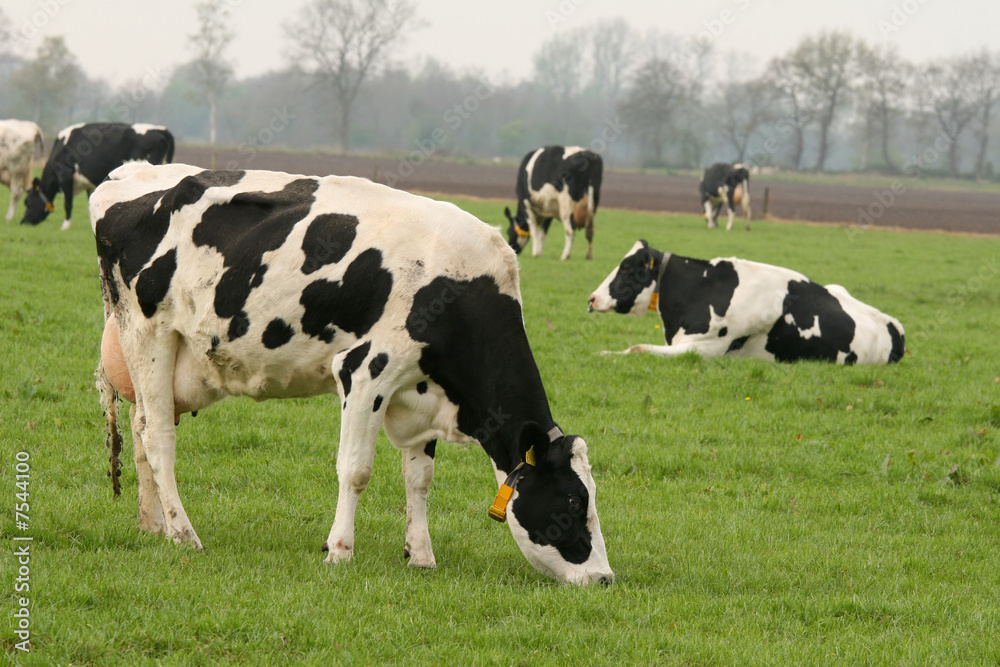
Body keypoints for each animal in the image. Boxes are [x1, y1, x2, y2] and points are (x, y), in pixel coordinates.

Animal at [21, 122, 175, 230]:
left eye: (27, 202)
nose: (23, 222)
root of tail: (161, 130)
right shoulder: (89, 186)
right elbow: (90, 201)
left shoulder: (66, 177)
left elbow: (68, 203)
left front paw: (65, 226)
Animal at [94, 162, 612, 584]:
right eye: (573, 501)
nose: (604, 578)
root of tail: (127, 176)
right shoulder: (366, 370)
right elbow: (356, 469)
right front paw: (339, 551)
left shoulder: (420, 391)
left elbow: (419, 477)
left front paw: (421, 556)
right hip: (148, 333)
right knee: (157, 436)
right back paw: (184, 534)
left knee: (141, 430)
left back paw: (153, 525)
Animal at [584, 240, 908, 366]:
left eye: (628, 268)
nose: (592, 298)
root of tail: (895, 325)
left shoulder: (705, 349)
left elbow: (638, 348)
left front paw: (601, 354)